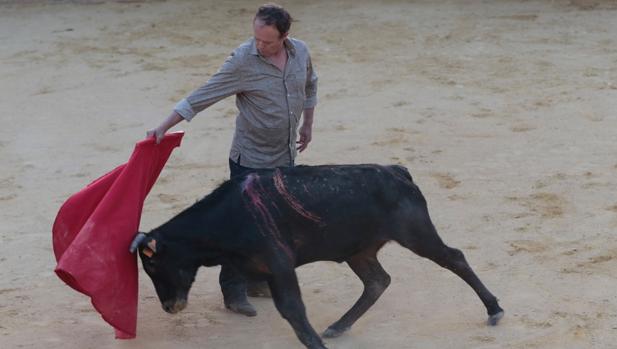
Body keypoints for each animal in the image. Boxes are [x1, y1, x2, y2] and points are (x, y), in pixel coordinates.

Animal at [130, 164, 500, 348]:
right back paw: (338, 326)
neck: (229, 217)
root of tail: (397, 171)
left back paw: (494, 310)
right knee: (377, 281)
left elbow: (293, 311)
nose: (169, 307)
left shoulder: (279, 265)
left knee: (454, 258)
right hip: (359, 250)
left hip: (416, 234)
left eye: (152, 264)